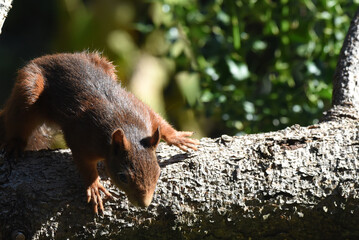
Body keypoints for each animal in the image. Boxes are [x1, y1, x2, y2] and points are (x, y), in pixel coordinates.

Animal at [0, 51, 200, 213]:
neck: (126, 126)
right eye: (122, 177)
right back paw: (15, 143)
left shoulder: (144, 113)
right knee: (17, 118)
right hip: (30, 89)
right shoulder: (82, 137)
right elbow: (84, 164)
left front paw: (177, 137)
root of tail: (50, 57)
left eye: (158, 173)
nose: (144, 204)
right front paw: (94, 185)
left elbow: (160, 121)